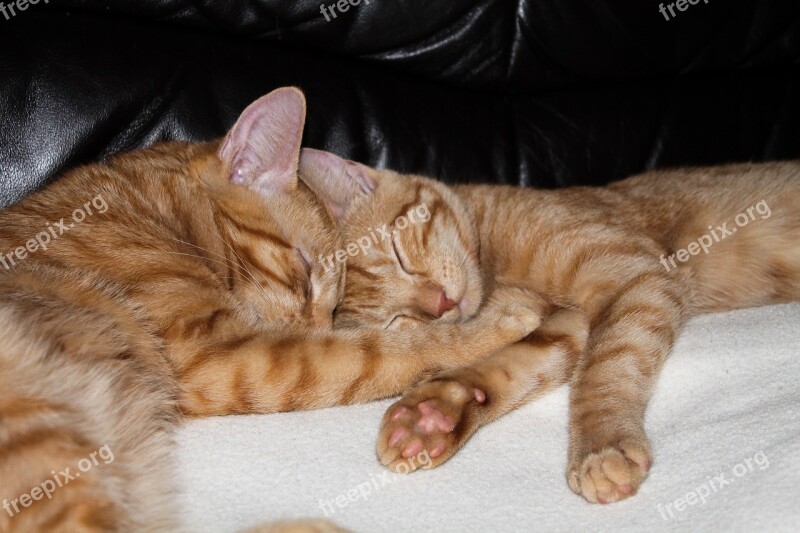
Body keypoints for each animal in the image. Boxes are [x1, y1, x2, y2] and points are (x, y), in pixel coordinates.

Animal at [0, 89, 540, 528]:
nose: (319, 327)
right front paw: (503, 316)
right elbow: (387, 350)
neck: (160, 216)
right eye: (305, 270)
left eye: (335, 306)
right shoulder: (219, 353)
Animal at [298, 147, 800, 502]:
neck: (496, 271)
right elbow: (513, 367)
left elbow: (605, 371)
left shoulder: (636, 277)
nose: (440, 304)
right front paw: (434, 414)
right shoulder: (572, 321)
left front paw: (602, 445)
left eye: (399, 253)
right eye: (399, 321)